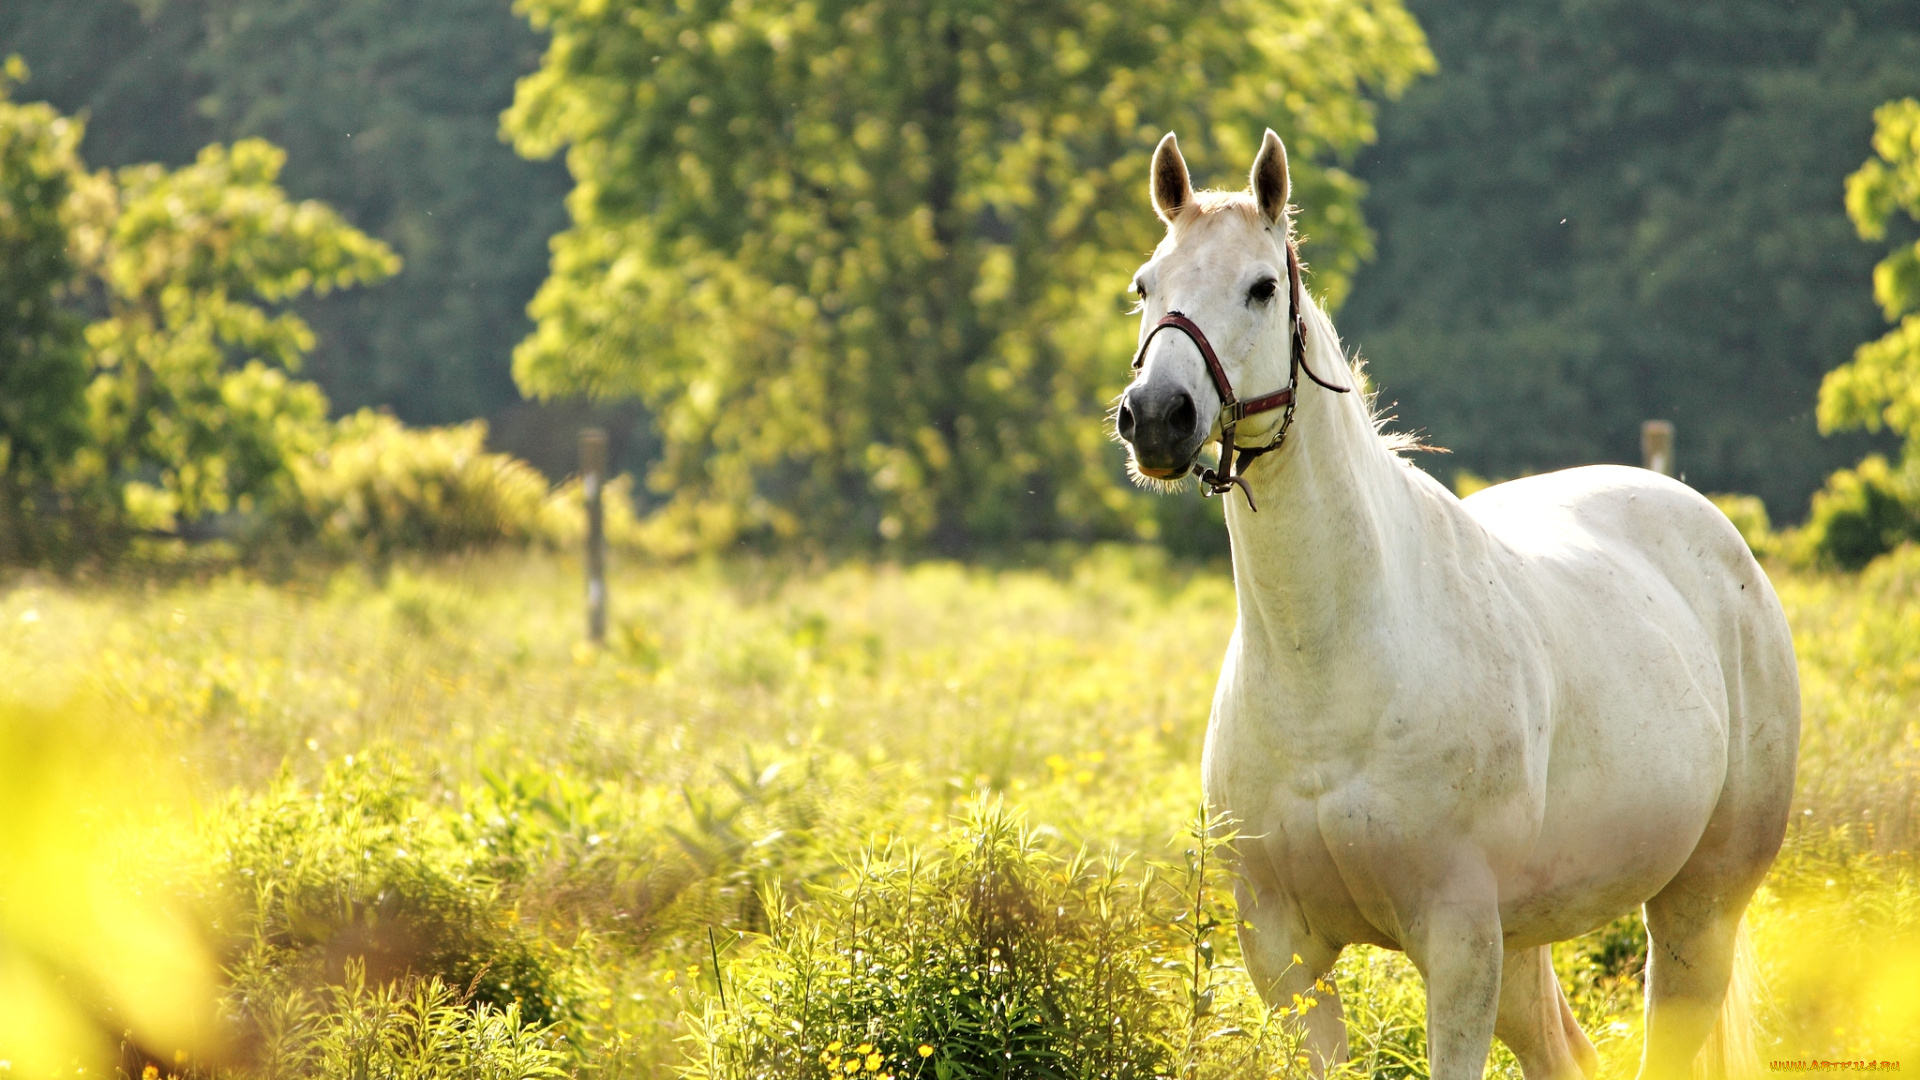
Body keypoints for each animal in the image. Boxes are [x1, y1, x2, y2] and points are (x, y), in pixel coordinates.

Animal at [1121, 132, 1789, 1076]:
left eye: (1261, 287)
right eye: (1146, 285)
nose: (1157, 417)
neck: (1330, 668)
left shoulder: (1459, 941)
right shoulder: (1285, 955)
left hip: (1698, 909)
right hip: (1530, 940)